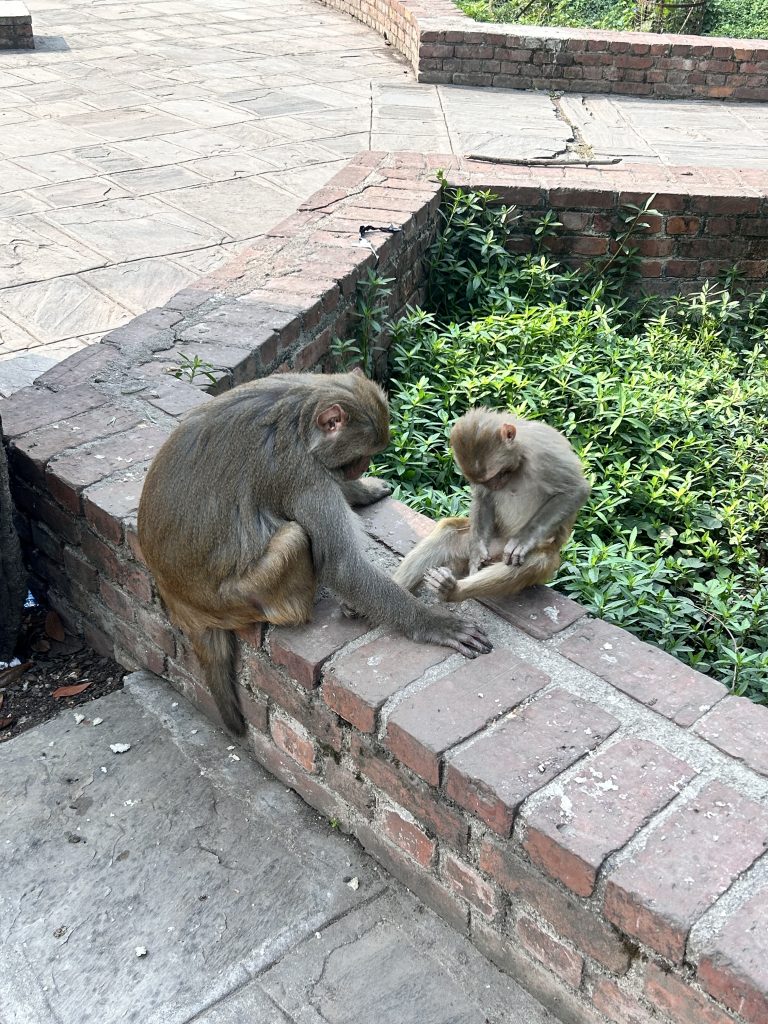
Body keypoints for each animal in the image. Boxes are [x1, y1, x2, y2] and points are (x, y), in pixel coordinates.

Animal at [137, 372, 493, 733]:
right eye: (359, 456)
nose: (358, 470)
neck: (300, 417)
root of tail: (182, 602)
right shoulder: (304, 473)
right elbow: (343, 566)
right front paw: (435, 623)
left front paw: (361, 490)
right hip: (241, 596)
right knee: (295, 538)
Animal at [393, 407, 593, 598]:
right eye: (485, 481)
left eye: (498, 474)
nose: (495, 485)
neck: (521, 453)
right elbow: (484, 497)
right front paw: (477, 552)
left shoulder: (544, 453)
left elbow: (576, 490)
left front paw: (522, 540)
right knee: (449, 532)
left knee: (535, 562)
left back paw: (453, 591)